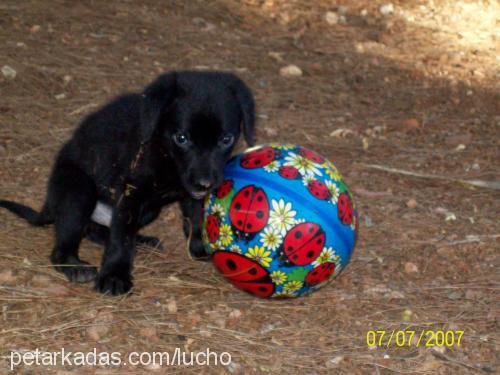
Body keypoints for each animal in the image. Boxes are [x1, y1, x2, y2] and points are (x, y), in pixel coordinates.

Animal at [0, 70, 256, 294]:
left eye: (226, 139)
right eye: (182, 138)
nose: (205, 183)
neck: (165, 153)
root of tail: (49, 204)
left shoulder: (188, 192)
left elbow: (194, 217)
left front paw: (199, 246)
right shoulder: (131, 192)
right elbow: (121, 238)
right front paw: (114, 275)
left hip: (148, 210)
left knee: (95, 229)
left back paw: (140, 241)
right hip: (79, 191)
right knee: (66, 242)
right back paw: (74, 266)